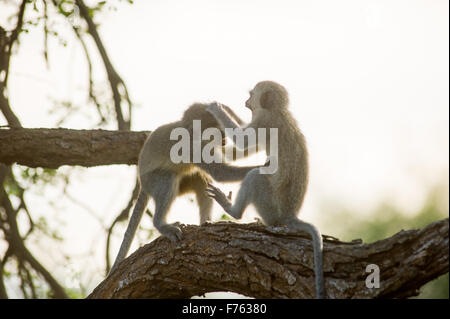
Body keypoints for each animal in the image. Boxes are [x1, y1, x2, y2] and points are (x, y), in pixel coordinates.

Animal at [109, 103, 262, 276]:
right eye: (217, 129)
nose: (224, 137)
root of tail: (143, 182)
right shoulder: (192, 148)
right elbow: (221, 173)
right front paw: (265, 167)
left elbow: (230, 156)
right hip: (153, 180)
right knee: (168, 180)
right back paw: (161, 224)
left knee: (201, 180)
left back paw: (206, 222)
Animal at [206, 82, 326, 300]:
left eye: (251, 95)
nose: (246, 102)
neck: (279, 110)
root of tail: (290, 215)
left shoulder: (263, 121)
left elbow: (242, 142)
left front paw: (217, 108)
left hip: (270, 207)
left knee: (256, 177)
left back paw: (233, 211)